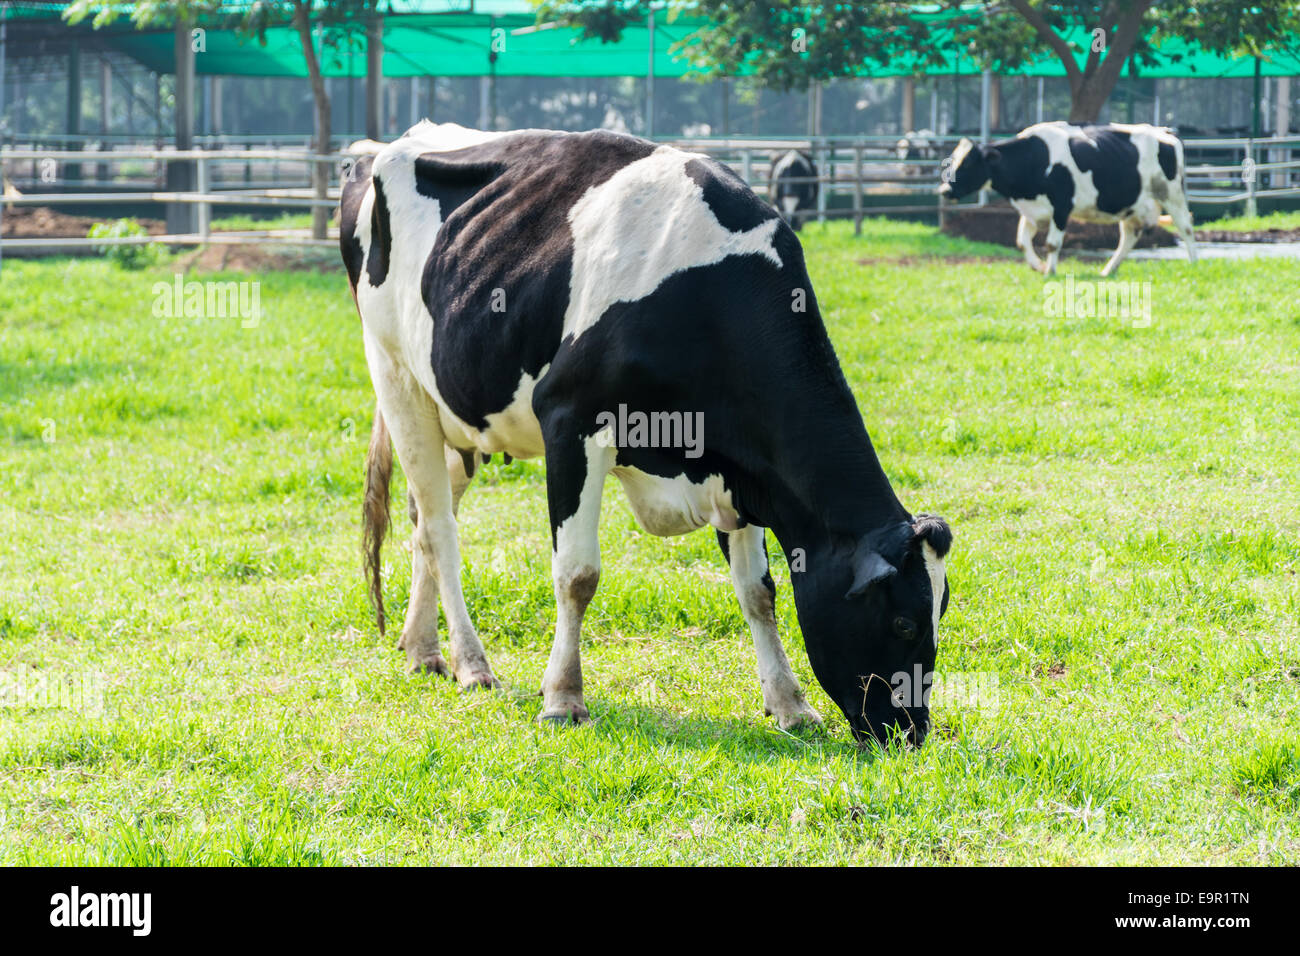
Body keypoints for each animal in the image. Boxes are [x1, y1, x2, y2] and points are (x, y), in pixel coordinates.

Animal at [343, 119, 956, 749]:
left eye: (940, 614)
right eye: (903, 621)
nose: (911, 731)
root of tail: (388, 147)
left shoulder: (738, 468)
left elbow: (759, 591)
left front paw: (790, 705)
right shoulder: (570, 421)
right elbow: (577, 575)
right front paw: (562, 698)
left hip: (458, 414)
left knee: (424, 519)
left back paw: (422, 650)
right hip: (396, 377)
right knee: (440, 530)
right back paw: (471, 663)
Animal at [935, 121, 1196, 274]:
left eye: (968, 163)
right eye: (952, 160)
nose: (945, 190)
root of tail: (1165, 132)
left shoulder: (1061, 207)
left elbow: (1052, 243)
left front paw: (1050, 271)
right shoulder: (1032, 210)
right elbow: (1022, 241)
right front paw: (1038, 265)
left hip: (1171, 194)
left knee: (1186, 227)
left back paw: (1193, 262)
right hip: (1133, 205)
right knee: (1129, 237)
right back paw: (1108, 270)